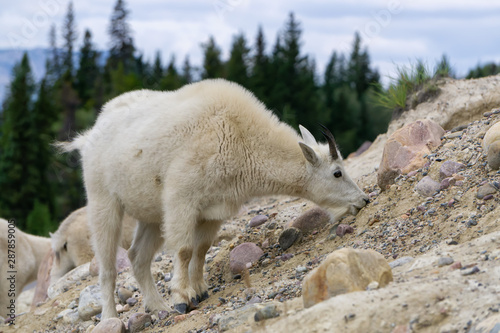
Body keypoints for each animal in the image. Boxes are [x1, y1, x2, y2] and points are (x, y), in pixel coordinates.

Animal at [56, 78, 370, 320]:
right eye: (337, 173)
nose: (364, 200)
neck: (241, 137)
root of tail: (90, 135)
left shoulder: (213, 209)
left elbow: (202, 248)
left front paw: (200, 291)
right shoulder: (181, 198)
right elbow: (184, 249)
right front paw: (182, 298)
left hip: (150, 213)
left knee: (137, 256)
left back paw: (157, 306)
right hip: (103, 199)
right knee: (108, 265)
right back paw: (110, 317)